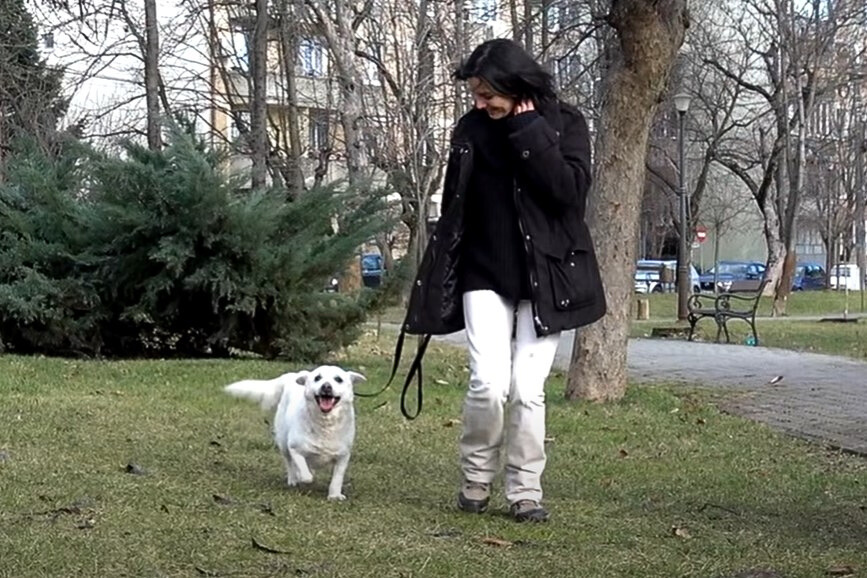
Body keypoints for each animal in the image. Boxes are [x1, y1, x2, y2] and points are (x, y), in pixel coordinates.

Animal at [225, 364, 364, 500]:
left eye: (338, 379)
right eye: (317, 378)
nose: (326, 386)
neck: (325, 423)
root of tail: (292, 375)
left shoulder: (343, 456)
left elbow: (337, 478)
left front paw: (334, 495)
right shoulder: (294, 449)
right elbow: (304, 473)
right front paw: (302, 477)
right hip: (283, 443)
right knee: (289, 463)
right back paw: (293, 479)